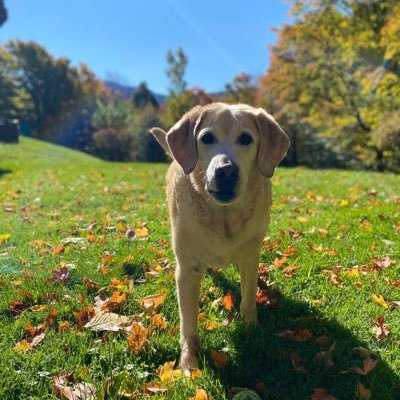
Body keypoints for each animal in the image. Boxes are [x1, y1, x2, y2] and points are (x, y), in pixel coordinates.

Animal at [148, 102, 290, 368]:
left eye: (246, 138)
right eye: (206, 138)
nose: (225, 171)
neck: (223, 217)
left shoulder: (250, 255)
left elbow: (248, 297)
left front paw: (251, 328)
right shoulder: (187, 269)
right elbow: (188, 323)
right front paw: (189, 363)